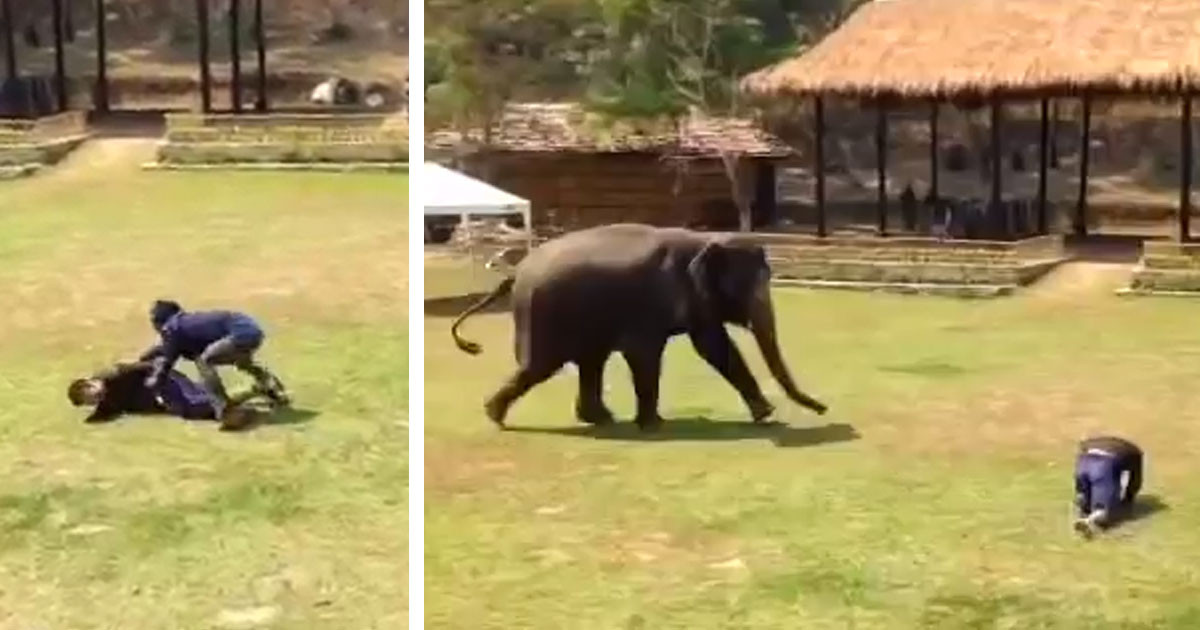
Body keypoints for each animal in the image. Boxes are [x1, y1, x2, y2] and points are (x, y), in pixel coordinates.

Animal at [451, 219, 825, 427]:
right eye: (747, 287)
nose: (824, 407)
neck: (703, 240)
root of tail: (516, 272)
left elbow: (714, 346)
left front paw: (765, 414)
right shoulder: (652, 301)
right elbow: (646, 353)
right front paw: (653, 424)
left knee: (589, 361)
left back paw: (599, 419)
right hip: (542, 314)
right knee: (540, 366)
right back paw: (495, 416)